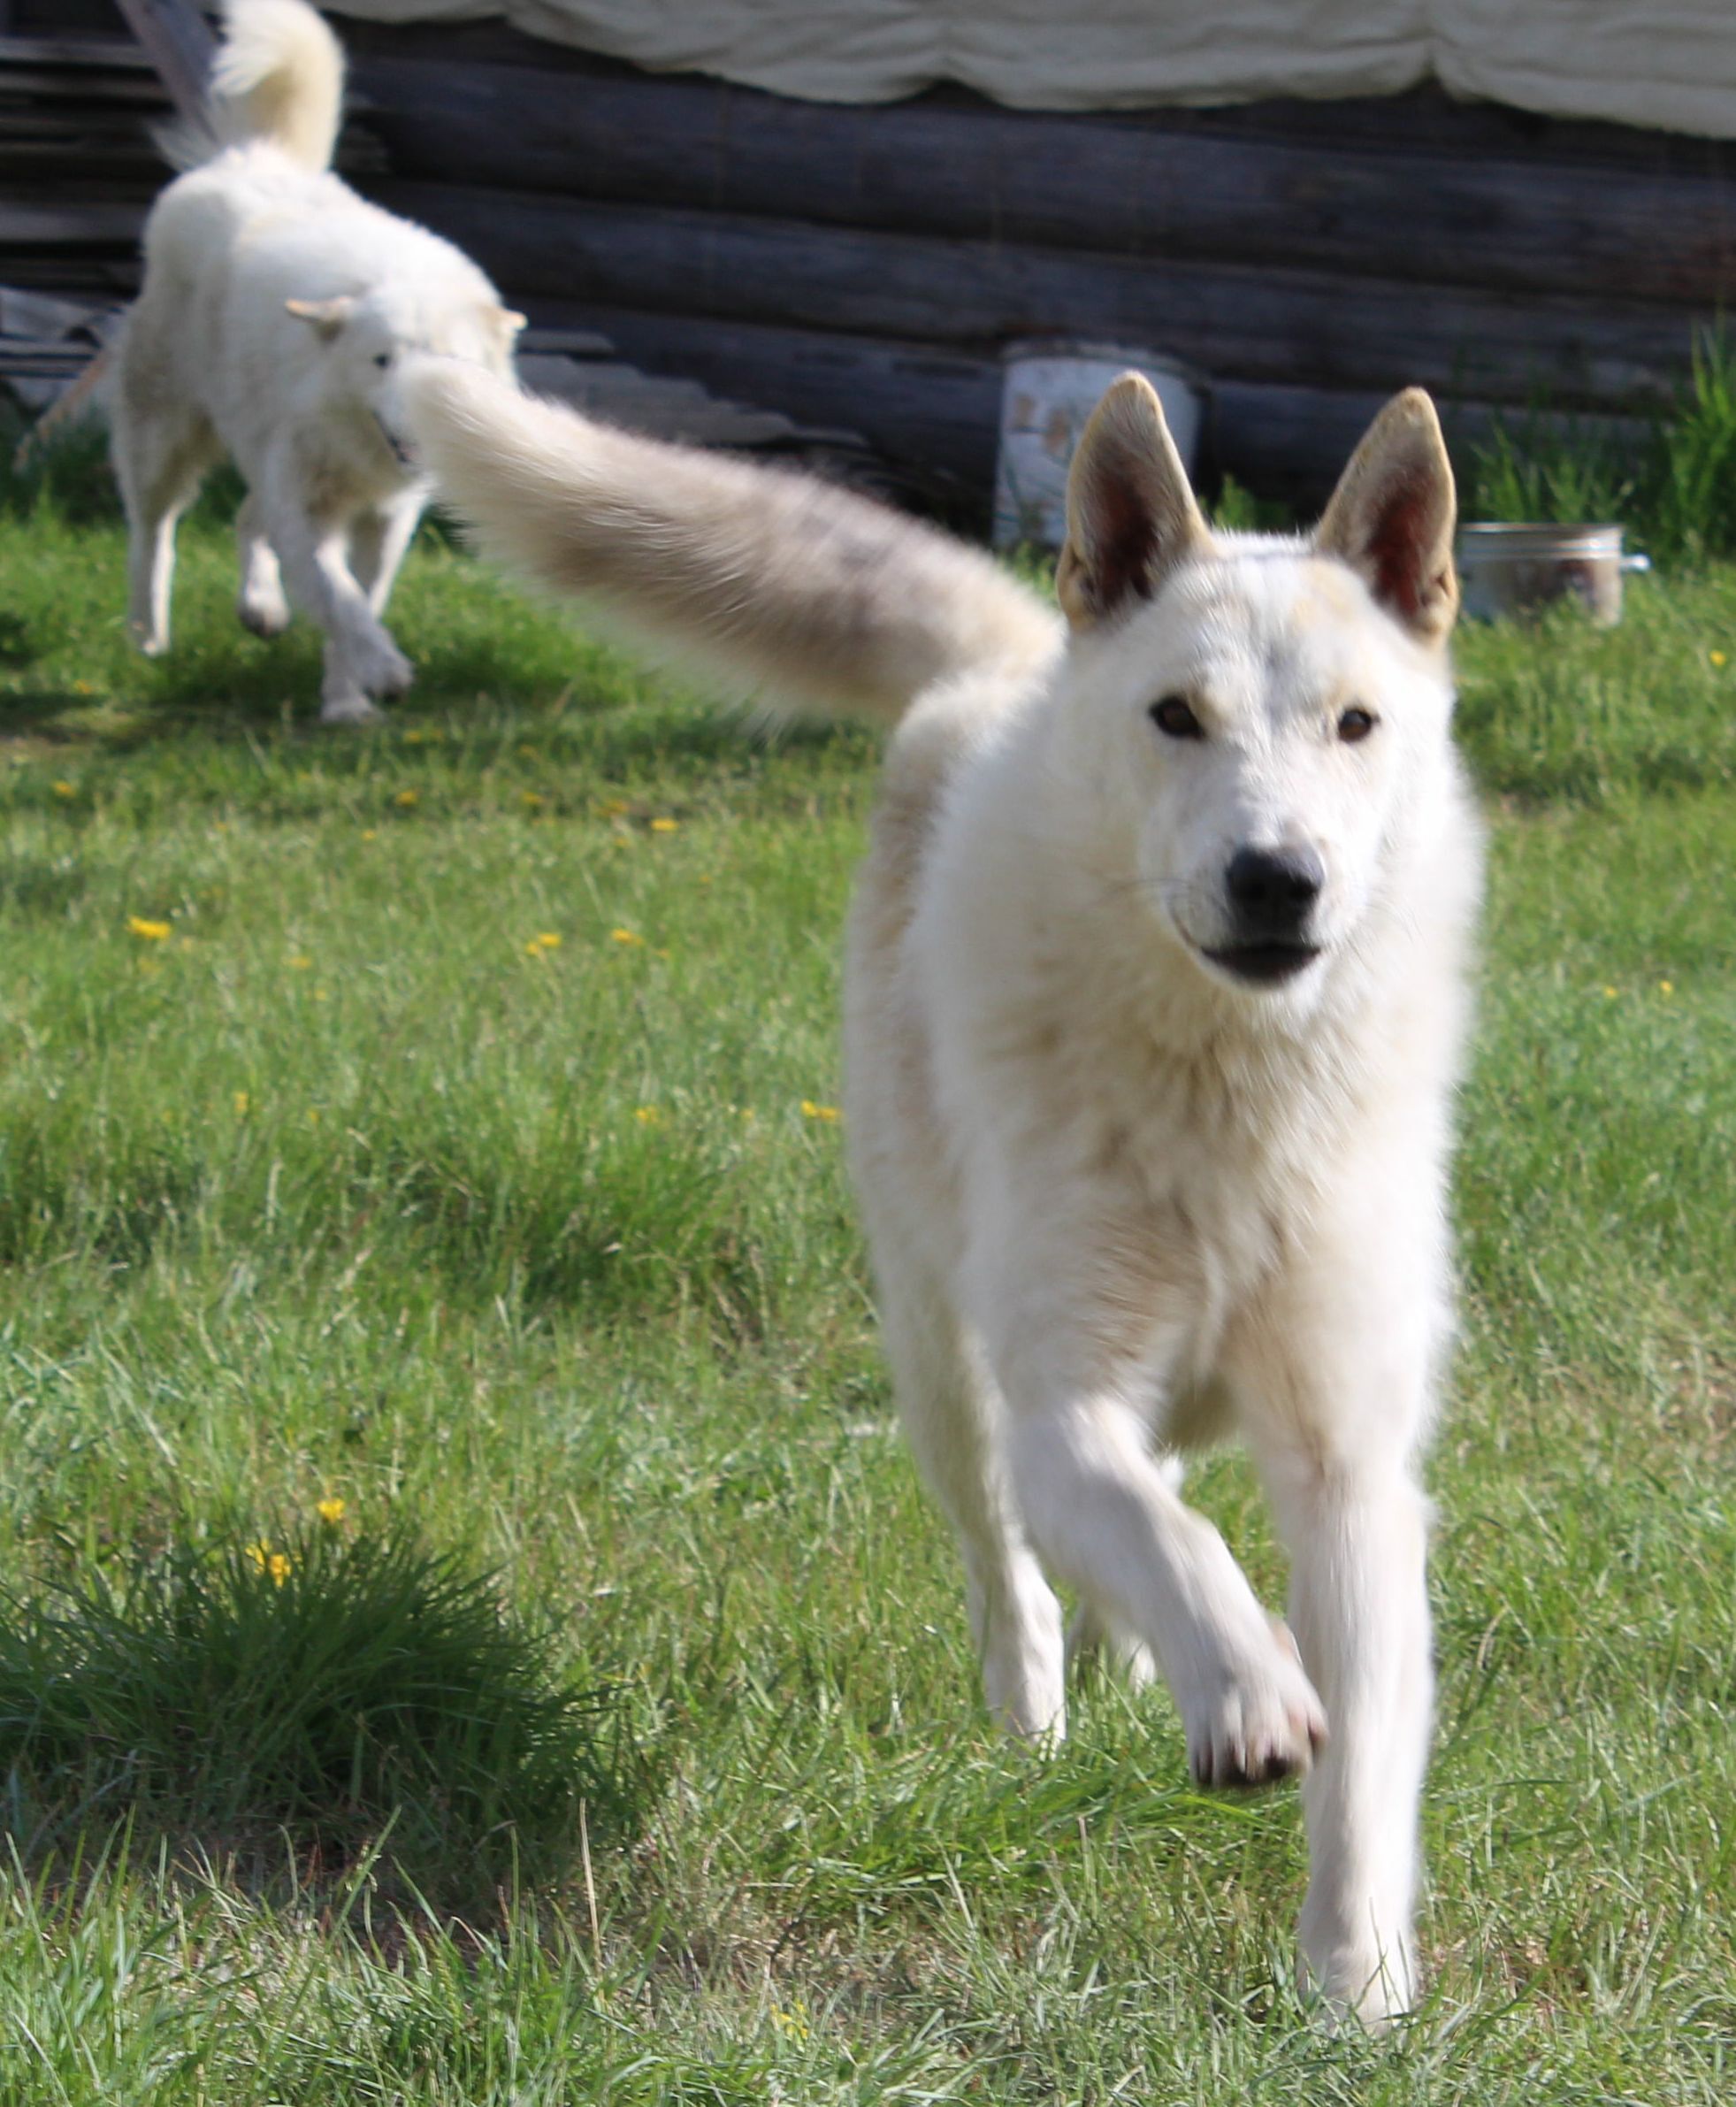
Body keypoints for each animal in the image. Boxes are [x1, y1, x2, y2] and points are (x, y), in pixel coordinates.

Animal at [110, 0, 522, 720]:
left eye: (445, 362)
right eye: (382, 361)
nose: (418, 424)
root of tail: (253, 156)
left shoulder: (385, 520)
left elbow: (355, 602)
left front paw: (347, 702)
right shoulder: (310, 510)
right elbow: (341, 601)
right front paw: (379, 676)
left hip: (257, 454)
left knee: (247, 518)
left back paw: (260, 609)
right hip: (164, 437)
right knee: (153, 533)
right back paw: (148, 637)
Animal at [404, 357, 1474, 2022]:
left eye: (1354, 723)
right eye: (1177, 718)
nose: (1275, 879)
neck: (1226, 1092)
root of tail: (1012, 658)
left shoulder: (1349, 1459)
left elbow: (1357, 1752)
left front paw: (1354, 1986)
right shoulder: (1056, 1405)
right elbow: (1165, 1543)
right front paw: (1240, 1690)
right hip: (941, 1367)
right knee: (1015, 1576)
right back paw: (1038, 1731)